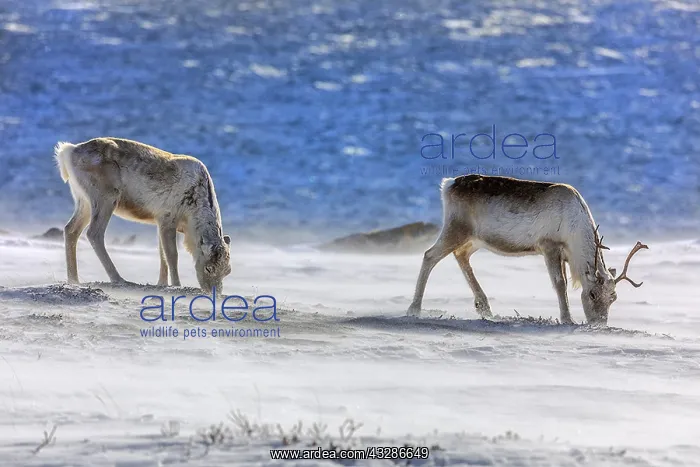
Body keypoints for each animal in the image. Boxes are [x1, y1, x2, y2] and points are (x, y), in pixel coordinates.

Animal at [54, 137, 232, 293]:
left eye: (228, 271)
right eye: (208, 268)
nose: (215, 293)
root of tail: (68, 151)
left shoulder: (160, 222)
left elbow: (162, 255)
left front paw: (162, 283)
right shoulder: (167, 218)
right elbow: (172, 255)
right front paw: (176, 285)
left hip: (83, 200)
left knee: (71, 230)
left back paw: (74, 280)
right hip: (106, 196)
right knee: (94, 233)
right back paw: (118, 279)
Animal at [407, 174, 647, 325]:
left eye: (613, 297)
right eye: (592, 294)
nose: (600, 325)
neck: (574, 230)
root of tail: (449, 184)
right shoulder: (549, 245)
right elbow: (560, 283)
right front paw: (567, 318)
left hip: (474, 239)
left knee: (460, 255)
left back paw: (484, 307)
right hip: (456, 227)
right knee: (430, 255)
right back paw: (414, 308)